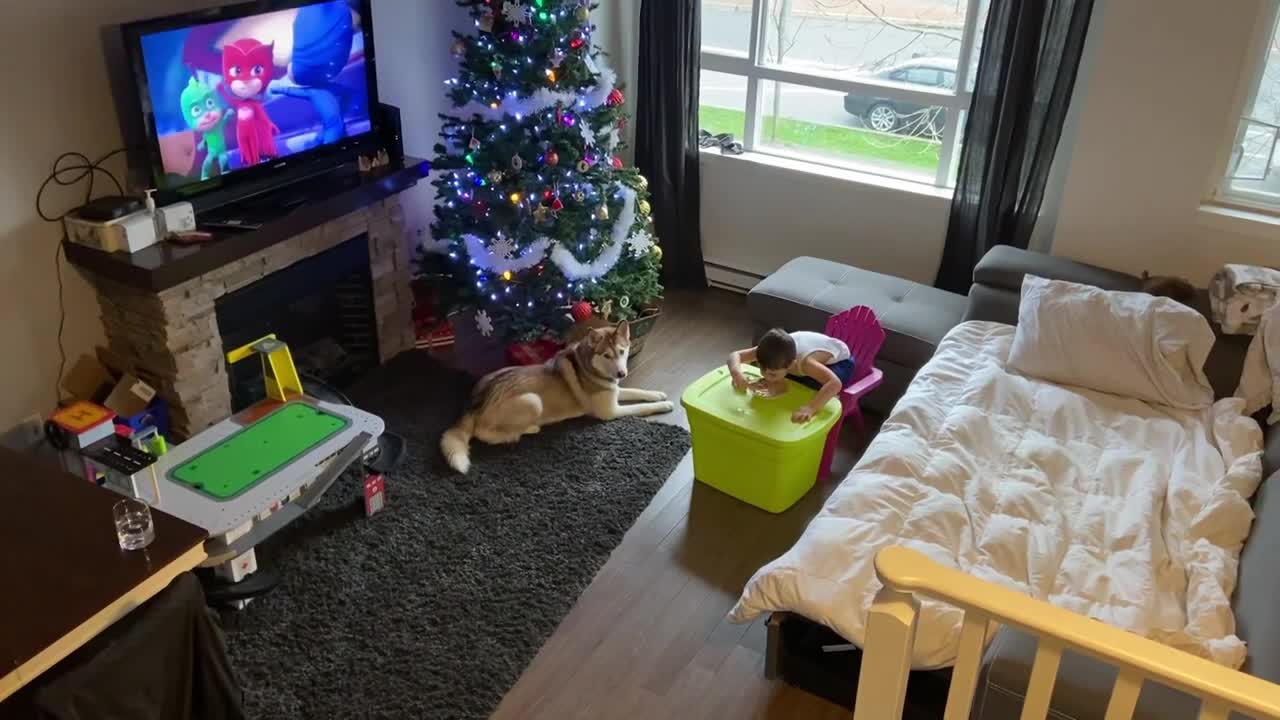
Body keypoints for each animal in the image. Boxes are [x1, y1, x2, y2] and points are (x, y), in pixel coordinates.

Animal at [440, 317, 675, 474]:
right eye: (607, 355)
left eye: (622, 352)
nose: (621, 373)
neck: (588, 367)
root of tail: (474, 404)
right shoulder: (610, 411)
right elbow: (640, 407)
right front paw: (664, 406)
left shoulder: (614, 391)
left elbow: (638, 392)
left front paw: (657, 394)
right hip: (533, 401)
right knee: (489, 434)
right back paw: (531, 428)